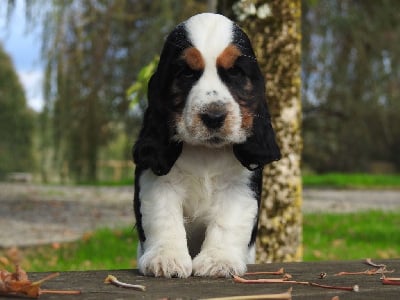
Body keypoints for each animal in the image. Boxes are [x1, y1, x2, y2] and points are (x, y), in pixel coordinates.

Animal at [133, 12, 280, 278]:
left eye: (235, 73)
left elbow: (227, 222)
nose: (214, 116)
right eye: (186, 73)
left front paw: (218, 261)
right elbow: (164, 218)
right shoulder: (158, 182)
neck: (206, 152)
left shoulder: (239, 187)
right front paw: (165, 258)